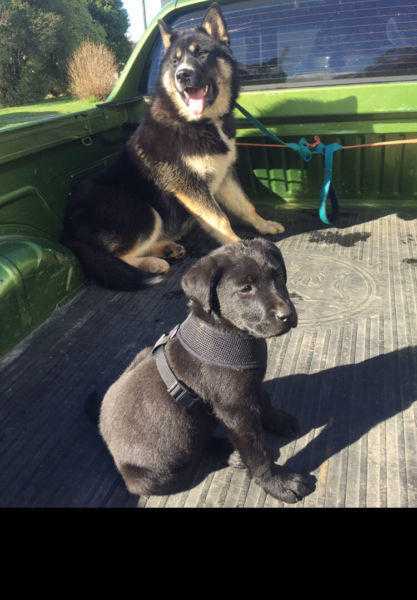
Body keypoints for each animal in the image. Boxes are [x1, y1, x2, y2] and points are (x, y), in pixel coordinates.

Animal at [62, 4, 282, 290]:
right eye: (175, 62)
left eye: (201, 53)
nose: (182, 75)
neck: (197, 121)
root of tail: (66, 231)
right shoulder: (189, 186)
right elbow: (220, 219)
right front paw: (238, 248)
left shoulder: (224, 177)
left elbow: (245, 205)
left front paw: (263, 225)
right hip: (142, 210)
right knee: (117, 256)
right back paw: (154, 263)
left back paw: (167, 248)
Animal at [101, 240, 316, 506]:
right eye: (246, 288)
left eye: (278, 277)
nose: (287, 315)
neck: (228, 332)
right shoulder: (235, 410)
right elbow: (256, 451)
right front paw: (277, 483)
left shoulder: (250, 384)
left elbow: (264, 400)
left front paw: (277, 419)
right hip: (155, 475)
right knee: (196, 455)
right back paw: (231, 455)